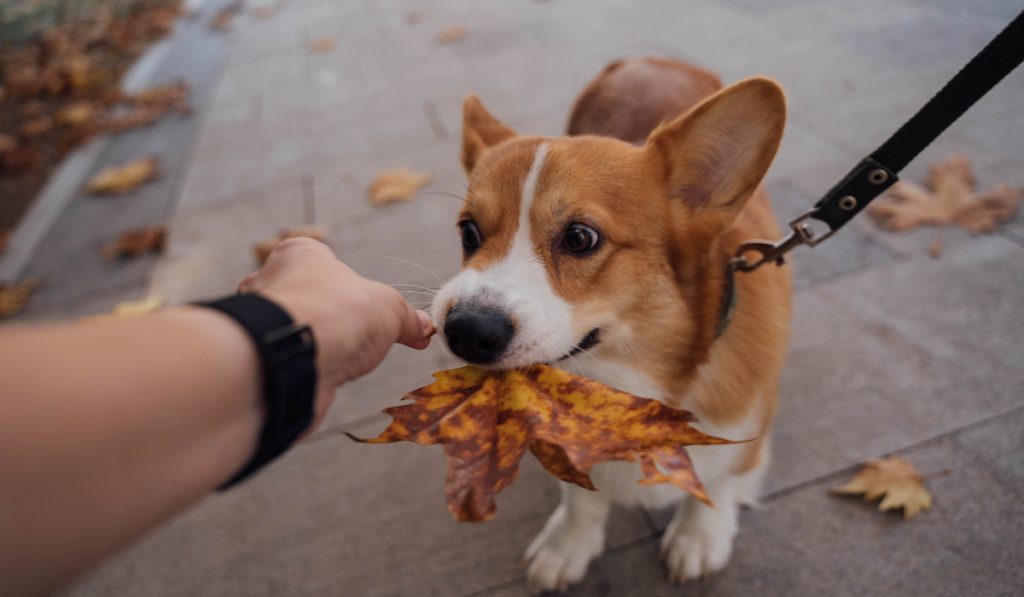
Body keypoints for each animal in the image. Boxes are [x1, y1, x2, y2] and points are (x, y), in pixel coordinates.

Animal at [432, 58, 790, 589]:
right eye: (468, 232)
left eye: (580, 238)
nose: (466, 332)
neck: (629, 376)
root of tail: (649, 60)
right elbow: (581, 498)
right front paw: (567, 545)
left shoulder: (749, 424)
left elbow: (723, 480)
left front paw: (699, 537)